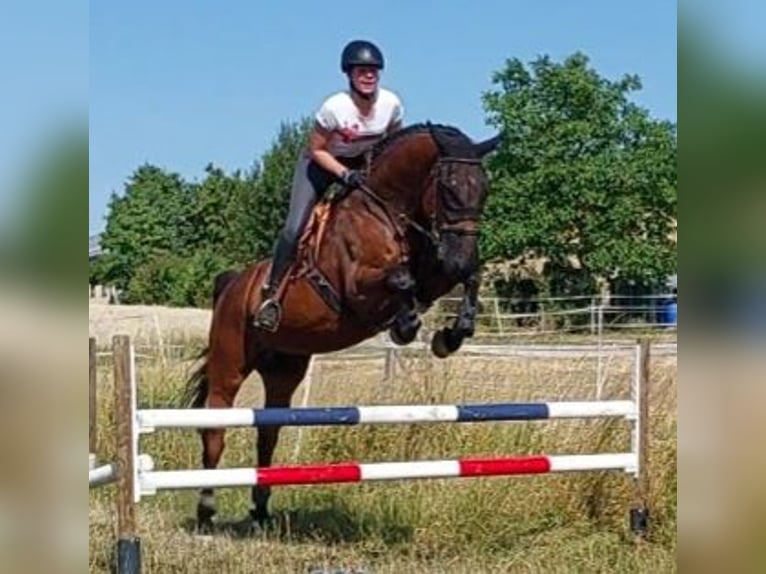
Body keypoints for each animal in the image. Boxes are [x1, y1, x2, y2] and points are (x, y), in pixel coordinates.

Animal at [182, 121, 500, 532]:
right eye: (448, 186)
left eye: (484, 188)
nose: (460, 255)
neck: (389, 211)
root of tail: (234, 283)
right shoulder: (356, 286)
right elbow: (401, 280)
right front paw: (406, 325)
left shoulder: (437, 273)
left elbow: (465, 278)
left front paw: (452, 334)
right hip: (229, 363)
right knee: (215, 427)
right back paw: (206, 509)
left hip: (284, 369)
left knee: (268, 432)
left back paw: (262, 510)